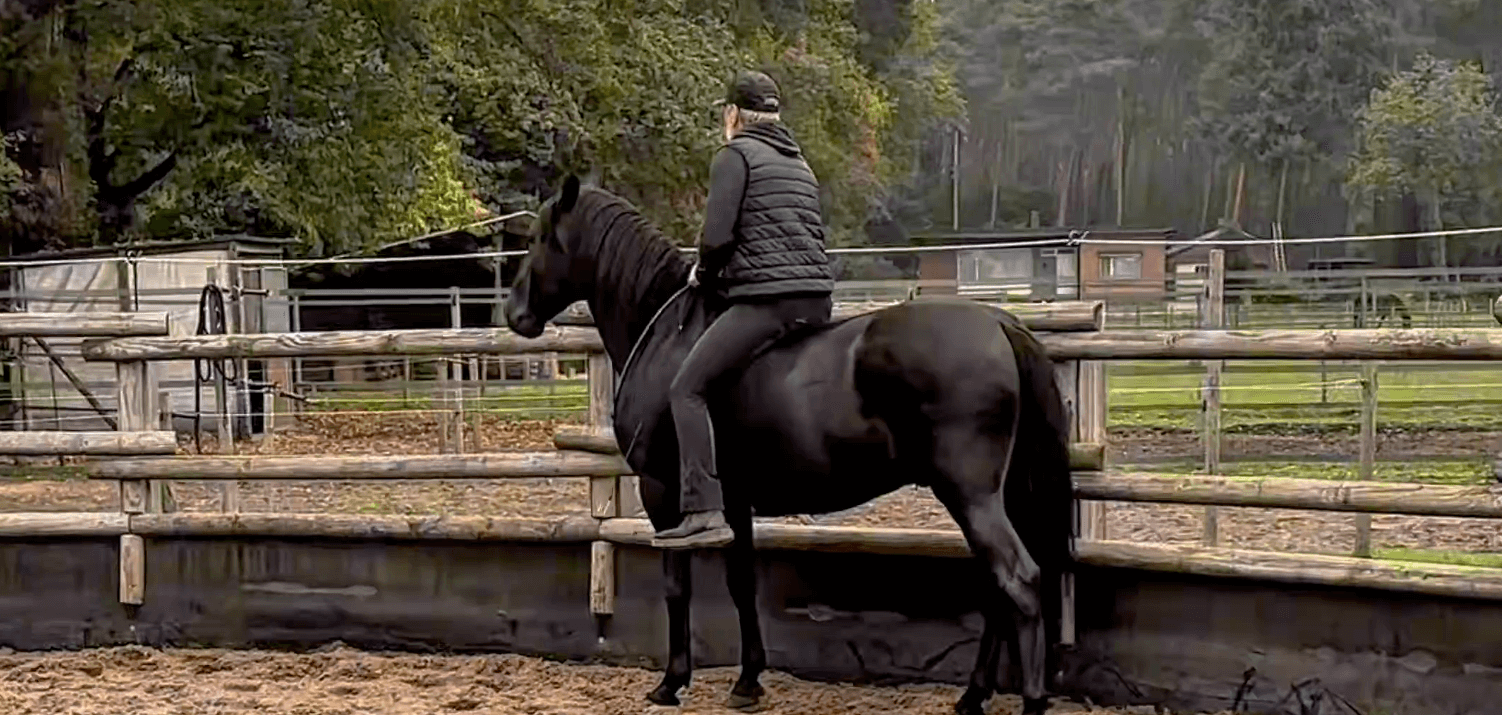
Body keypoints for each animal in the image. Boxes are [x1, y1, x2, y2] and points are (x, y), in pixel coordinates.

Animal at [504, 175, 1074, 715]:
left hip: (970, 494)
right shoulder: (734, 502)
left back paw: (1030, 700)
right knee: (998, 589)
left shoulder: (661, 493)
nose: (513, 312)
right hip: (997, 495)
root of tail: (997, 322)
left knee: (1019, 581)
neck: (668, 333)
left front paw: (671, 683)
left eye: (538, 237)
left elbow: (677, 588)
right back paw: (973, 696)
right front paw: (747, 682)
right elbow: (742, 583)